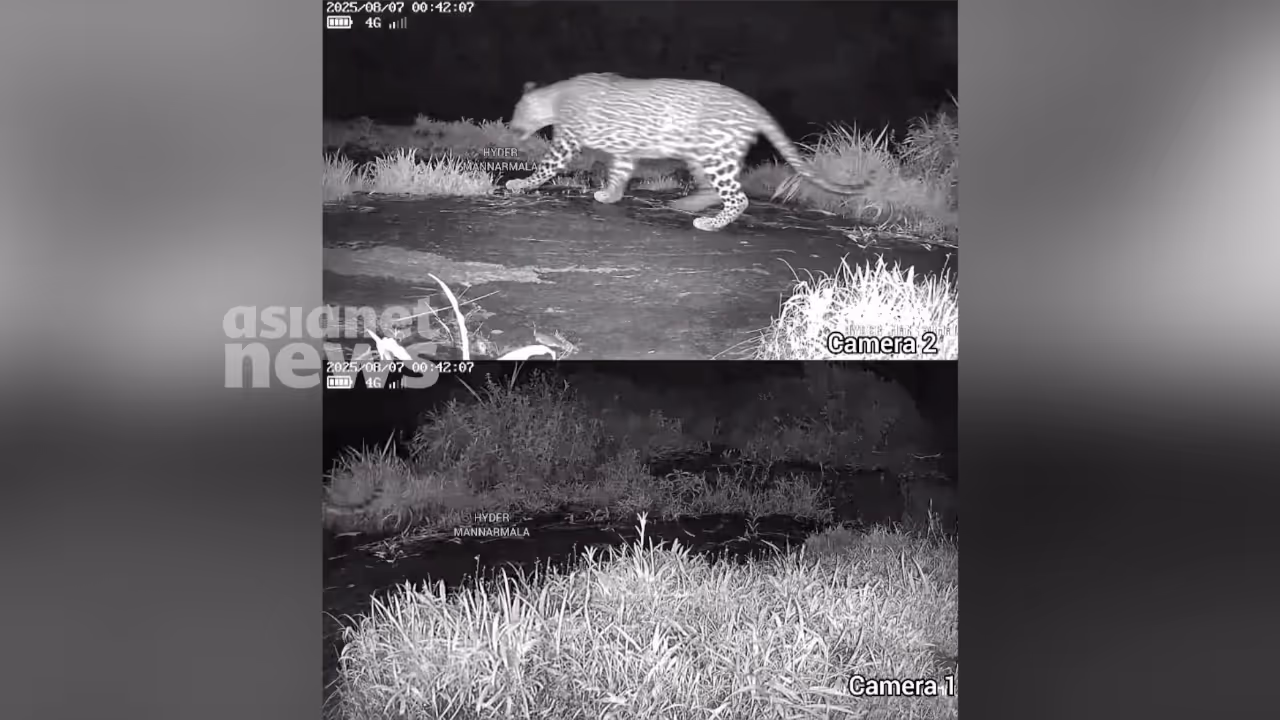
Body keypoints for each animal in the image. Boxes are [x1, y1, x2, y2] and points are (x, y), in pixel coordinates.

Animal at [505, 73, 870, 231]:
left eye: (516, 111)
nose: (510, 126)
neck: (555, 98)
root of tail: (752, 105)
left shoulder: (566, 142)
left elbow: (546, 167)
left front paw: (519, 184)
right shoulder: (624, 151)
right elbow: (619, 174)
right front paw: (609, 195)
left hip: (715, 155)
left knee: (738, 197)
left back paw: (709, 223)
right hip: (702, 156)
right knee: (711, 189)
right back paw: (686, 205)